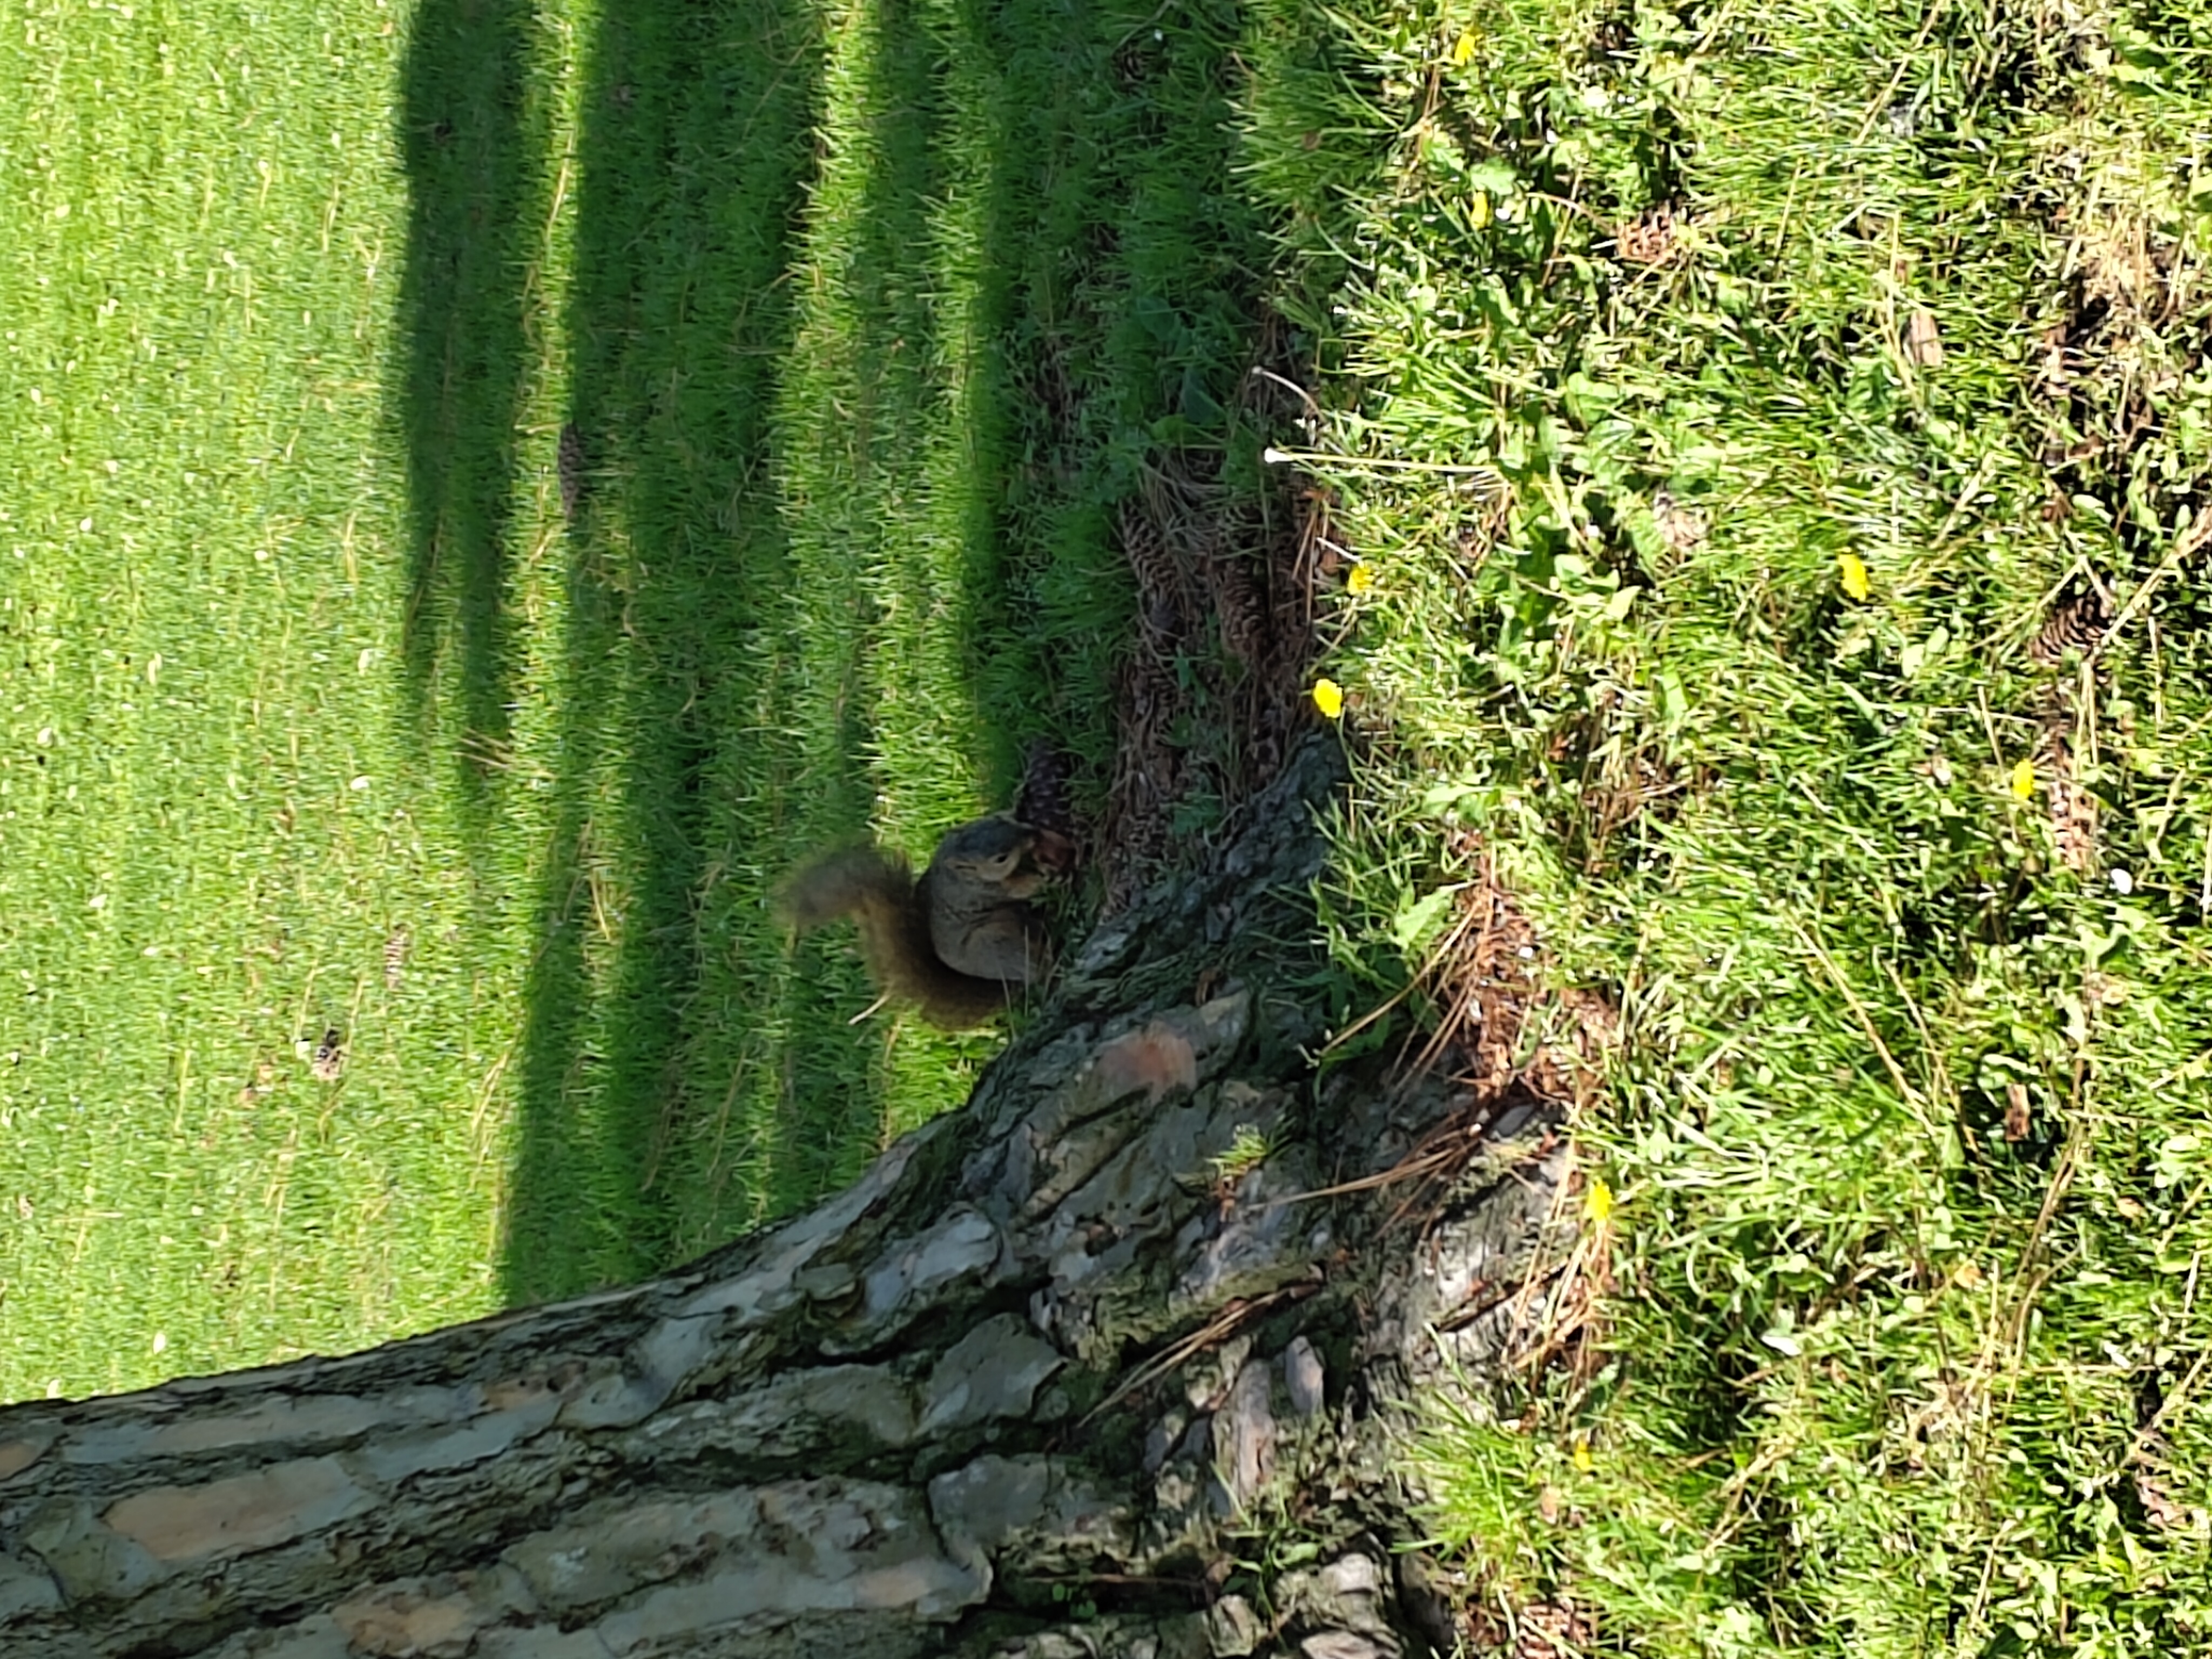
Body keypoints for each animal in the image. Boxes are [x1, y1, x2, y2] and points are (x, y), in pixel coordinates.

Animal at [775, 814, 1066, 1029]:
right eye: (1000, 859)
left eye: (1001, 819)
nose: (1033, 834)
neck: (959, 873)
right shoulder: (985, 891)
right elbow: (1018, 888)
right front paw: (1042, 878)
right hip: (995, 942)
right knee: (1034, 966)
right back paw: (1048, 964)